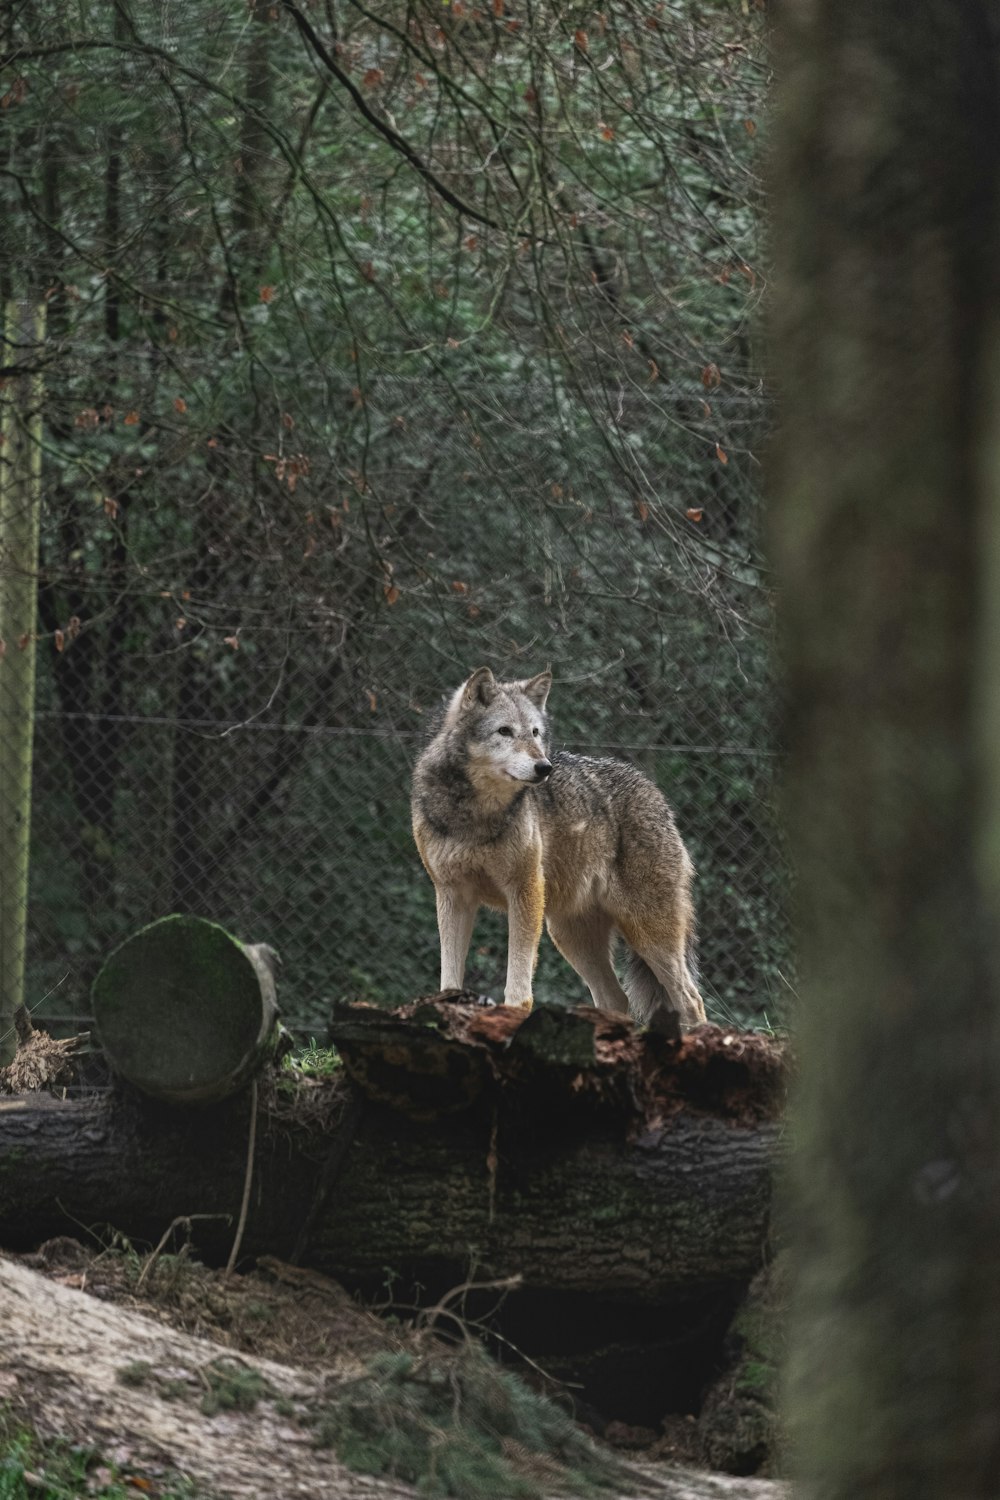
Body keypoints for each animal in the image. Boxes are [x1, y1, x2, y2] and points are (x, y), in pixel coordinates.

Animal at [410, 669, 707, 1032]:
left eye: (535, 732)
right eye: (504, 731)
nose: (544, 767)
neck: (474, 814)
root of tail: (653, 790)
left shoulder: (525, 890)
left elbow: (518, 988)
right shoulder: (451, 895)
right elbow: (449, 981)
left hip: (647, 932)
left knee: (691, 999)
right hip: (570, 936)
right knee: (616, 997)